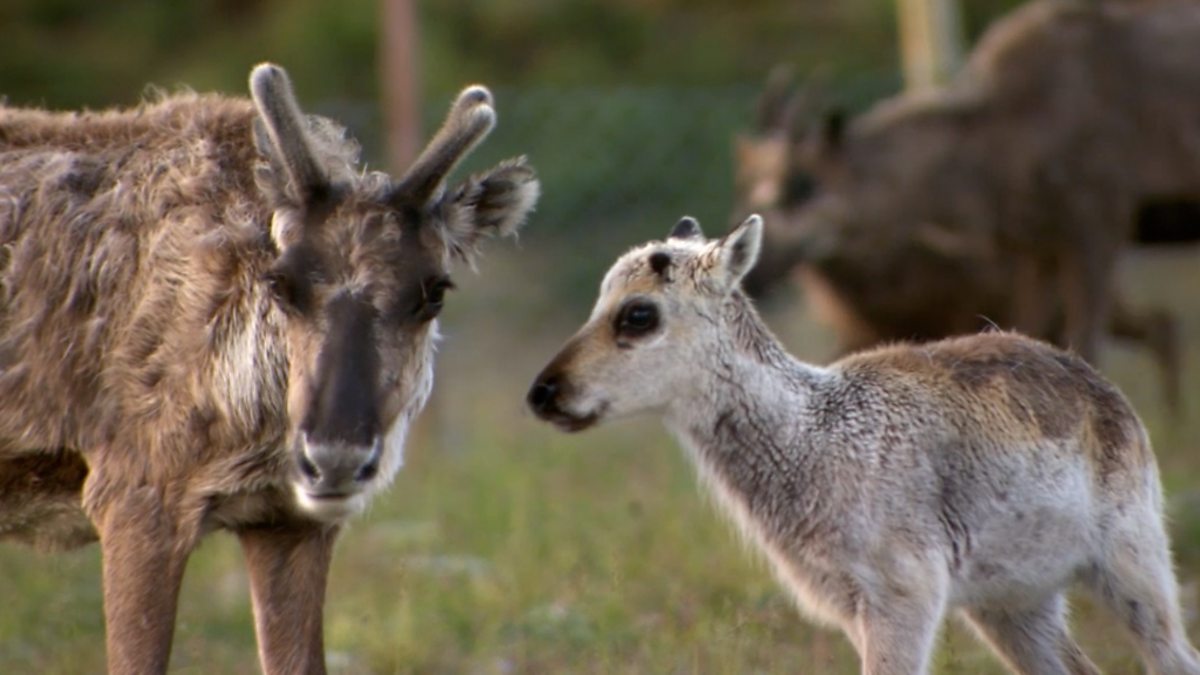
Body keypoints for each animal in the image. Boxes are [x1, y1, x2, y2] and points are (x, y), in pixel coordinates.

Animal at [532, 213, 1200, 672]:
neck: (814, 435)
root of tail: (1097, 383)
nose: (543, 393)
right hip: (1014, 604)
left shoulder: (901, 599)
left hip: (1134, 562)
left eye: (638, 314)